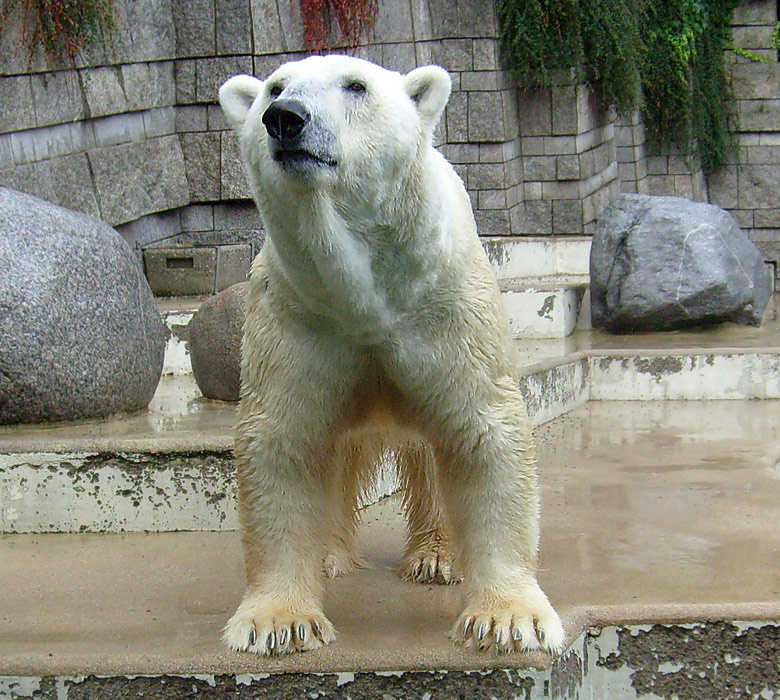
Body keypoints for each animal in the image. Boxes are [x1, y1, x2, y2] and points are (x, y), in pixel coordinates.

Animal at [216, 54, 564, 656]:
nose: (286, 118)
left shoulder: (445, 311)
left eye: (355, 86)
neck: (367, 295)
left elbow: (482, 434)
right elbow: (284, 441)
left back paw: (438, 555)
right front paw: (278, 622)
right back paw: (329, 554)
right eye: (274, 88)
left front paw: (507, 618)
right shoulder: (299, 316)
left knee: (433, 452)